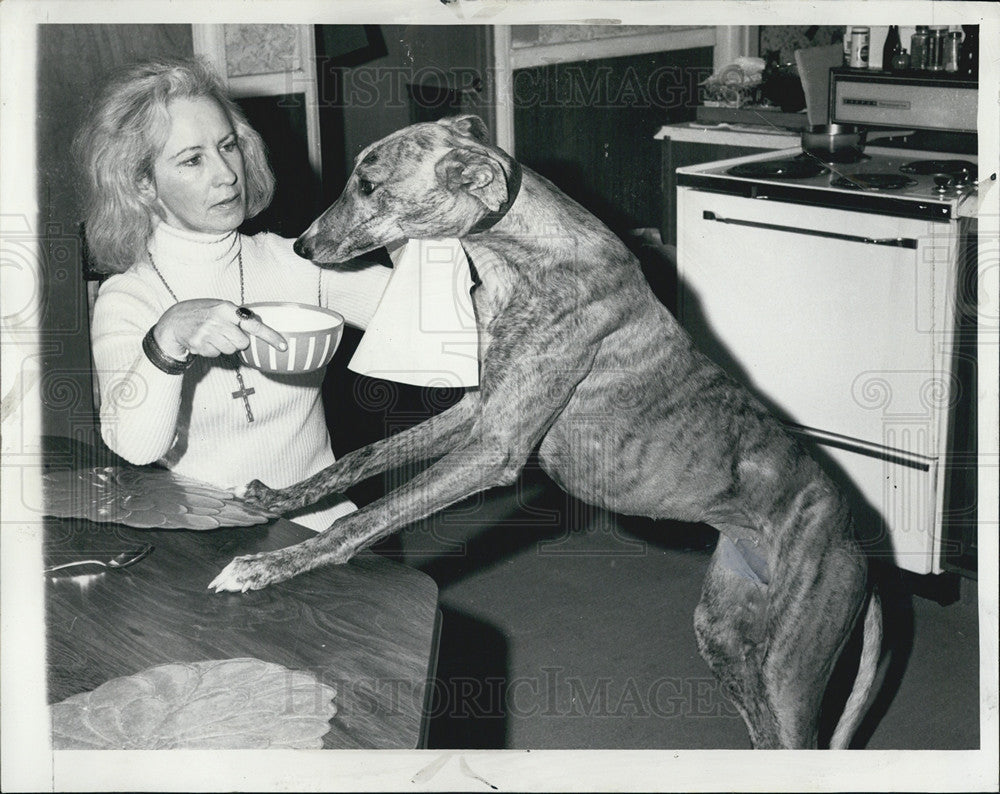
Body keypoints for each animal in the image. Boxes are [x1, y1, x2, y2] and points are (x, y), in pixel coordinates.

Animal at [207, 114, 880, 744]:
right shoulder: (477, 412)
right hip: (726, 632)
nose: (303, 246)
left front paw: (270, 565)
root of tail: (852, 535)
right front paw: (277, 499)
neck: (523, 253)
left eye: (368, 186)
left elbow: (365, 518)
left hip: (790, 668)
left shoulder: (496, 448)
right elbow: (359, 458)